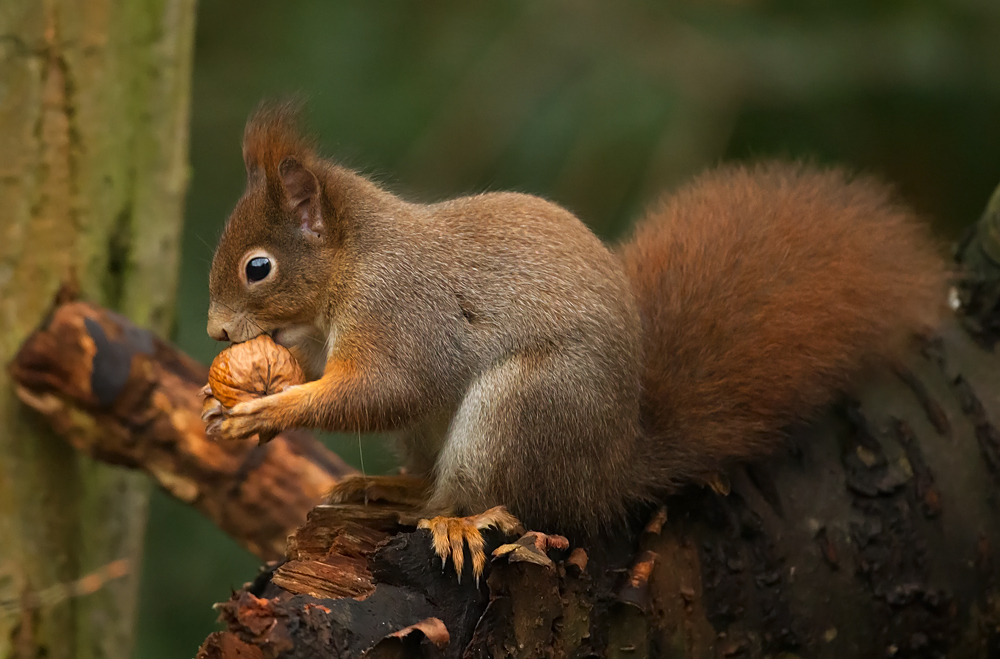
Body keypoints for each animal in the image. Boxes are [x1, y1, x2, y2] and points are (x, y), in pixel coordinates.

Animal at [203, 103, 944, 584]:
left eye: (258, 267)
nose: (216, 331)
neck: (355, 261)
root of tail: (611, 470)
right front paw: (226, 406)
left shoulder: (403, 310)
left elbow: (386, 389)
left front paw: (268, 411)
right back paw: (387, 488)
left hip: (524, 408)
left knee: (486, 494)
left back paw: (445, 519)